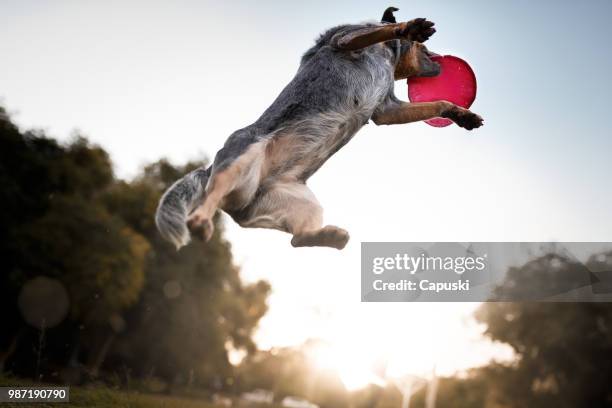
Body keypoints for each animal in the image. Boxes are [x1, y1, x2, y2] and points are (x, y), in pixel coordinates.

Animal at [157, 7, 482, 250]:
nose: (440, 60)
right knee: (210, 198)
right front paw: (409, 27)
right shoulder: (347, 39)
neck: (388, 57)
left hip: (304, 205)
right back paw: (200, 222)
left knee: (297, 239)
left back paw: (331, 236)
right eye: (425, 46)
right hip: (241, 157)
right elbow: (379, 30)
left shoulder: (387, 109)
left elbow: (438, 102)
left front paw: (461, 115)